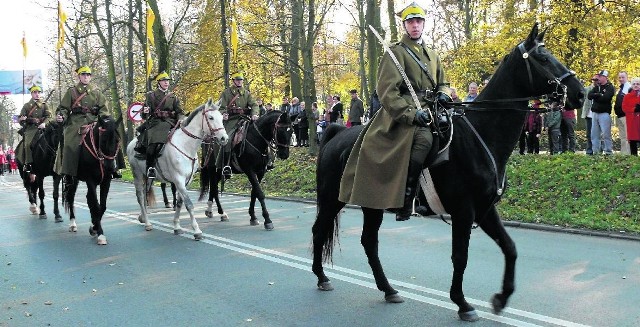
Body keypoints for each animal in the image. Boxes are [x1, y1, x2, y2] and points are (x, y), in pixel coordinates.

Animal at [64, 116, 120, 245]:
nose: (110, 167)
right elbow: (96, 205)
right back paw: (72, 224)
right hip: (73, 179)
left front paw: (94, 228)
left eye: (117, 140)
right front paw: (100, 233)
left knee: (87, 198)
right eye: (103, 141)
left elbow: (102, 206)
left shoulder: (106, 181)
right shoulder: (91, 180)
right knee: (71, 197)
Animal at [126, 98, 229, 240]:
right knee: (140, 197)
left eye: (222, 118)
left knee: (146, 194)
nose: (224, 138)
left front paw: (177, 226)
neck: (185, 145)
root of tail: (132, 143)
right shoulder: (178, 180)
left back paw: (142, 217)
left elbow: (180, 204)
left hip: (148, 176)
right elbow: (189, 204)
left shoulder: (186, 181)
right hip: (137, 175)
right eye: (211, 117)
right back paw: (147, 223)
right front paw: (197, 231)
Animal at [310, 25, 584, 322]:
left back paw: (388, 290)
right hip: (332, 199)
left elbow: (509, 248)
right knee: (319, 230)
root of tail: (337, 133)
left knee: (369, 242)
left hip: (372, 204)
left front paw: (501, 298)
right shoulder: (463, 211)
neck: (481, 135)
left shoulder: (485, 210)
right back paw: (322, 277)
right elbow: (460, 257)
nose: (580, 93)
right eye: (543, 58)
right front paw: (462, 303)